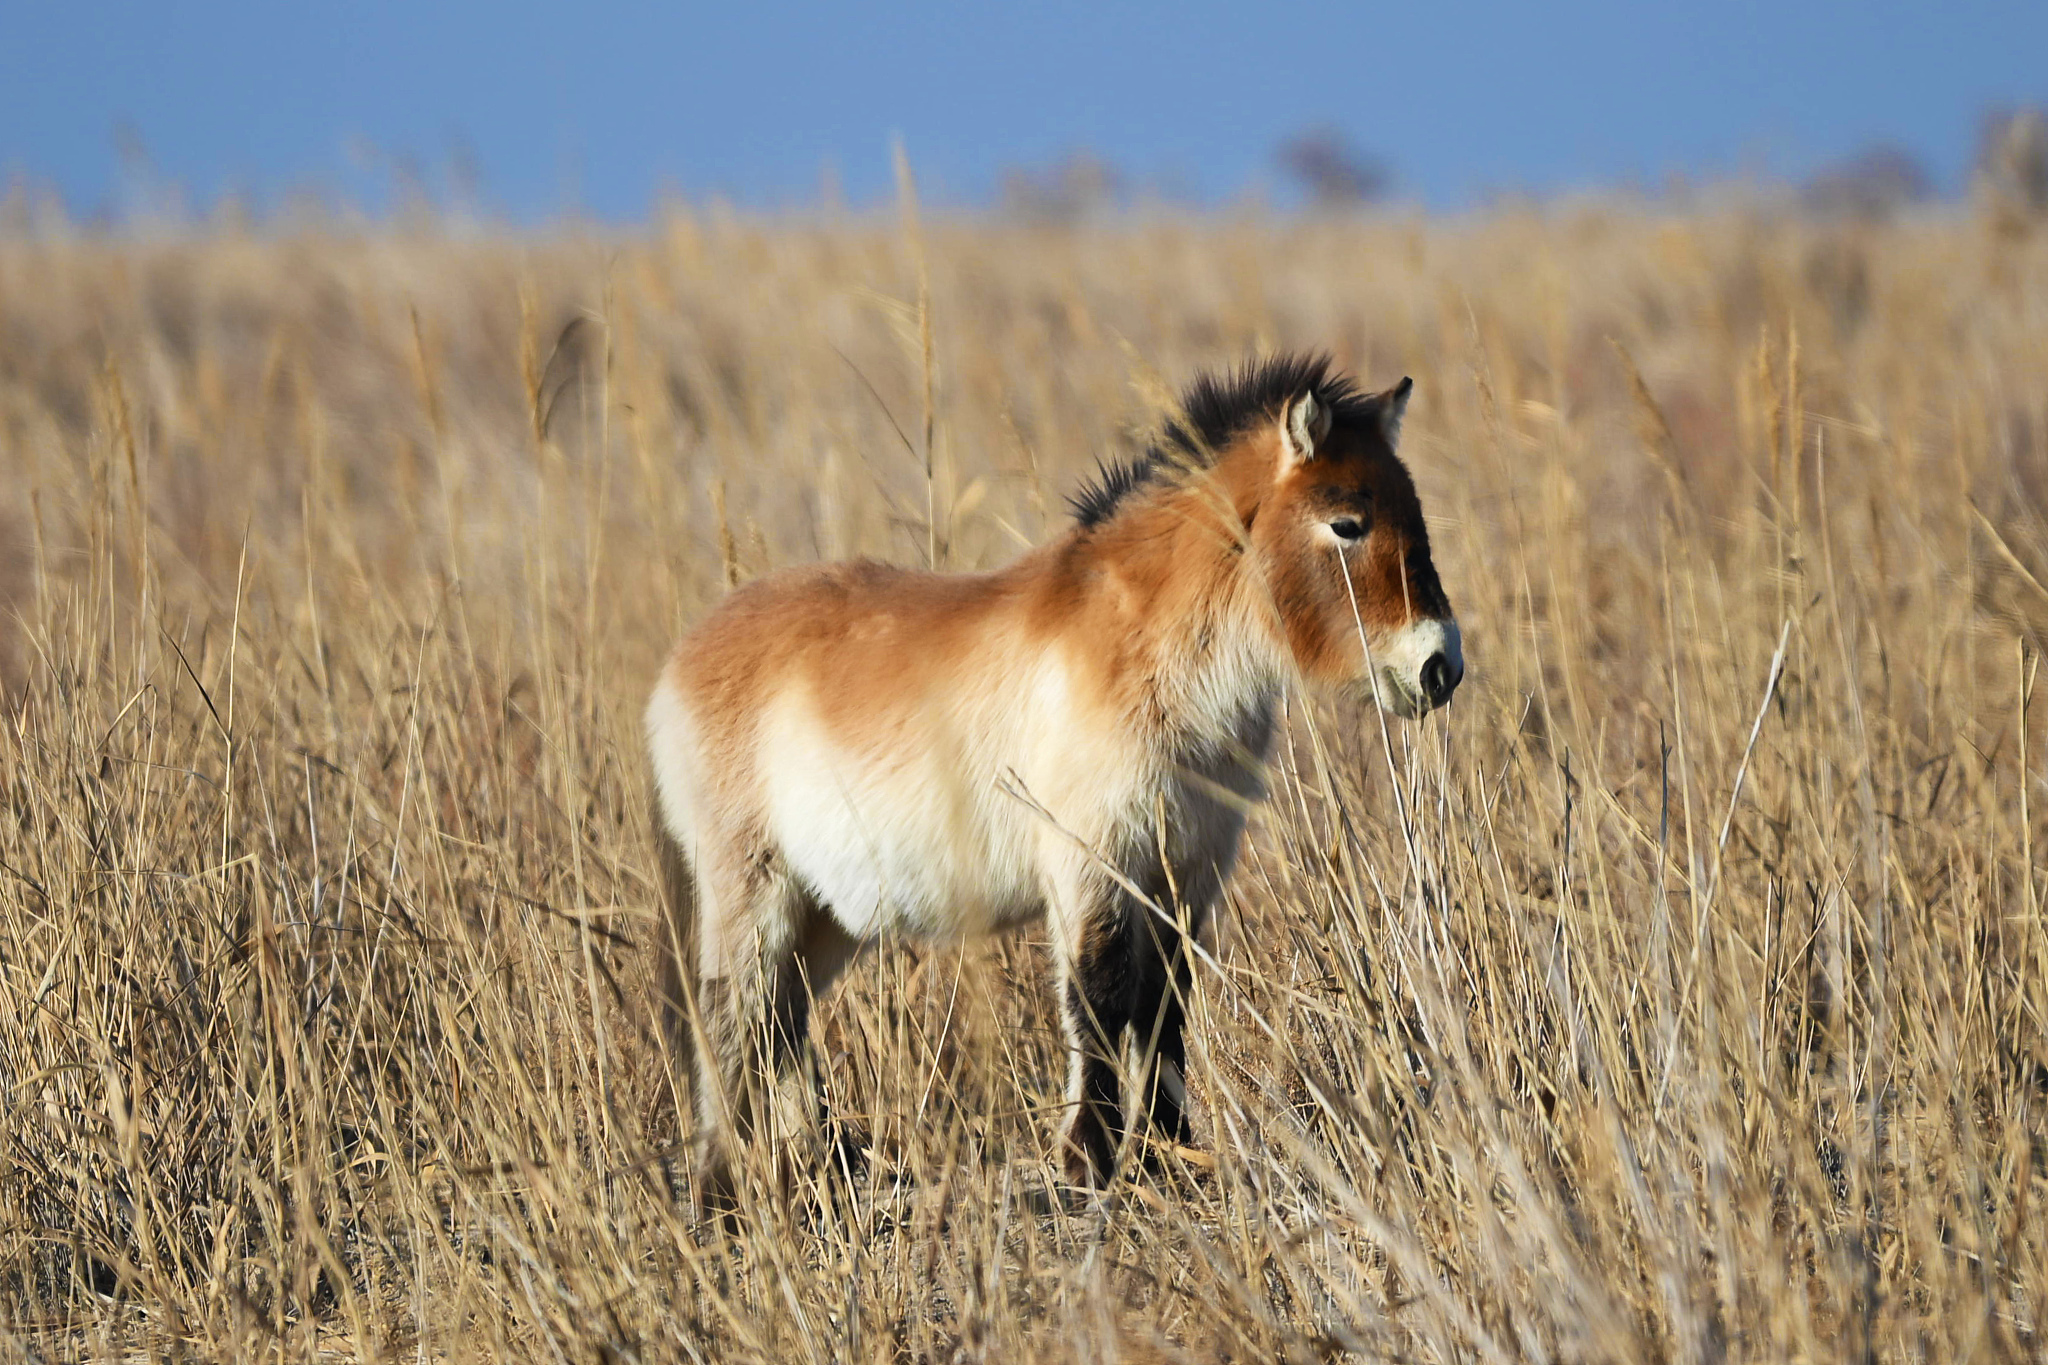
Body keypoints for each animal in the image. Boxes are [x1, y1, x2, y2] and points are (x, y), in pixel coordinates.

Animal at [646, 353, 1461, 1201]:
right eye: (1347, 523)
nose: (1439, 666)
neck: (1145, 653)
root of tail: (680, 662)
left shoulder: (1183, 874)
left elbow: (1164, 1006)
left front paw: (1168, 1152)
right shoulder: (1090, 866)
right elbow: (1097, 1000)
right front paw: (1089, 1159)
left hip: (824, 913)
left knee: (779, 1021)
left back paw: (812, 1165)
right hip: (751, 893)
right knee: (729, 1017)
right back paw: (719, 1188)